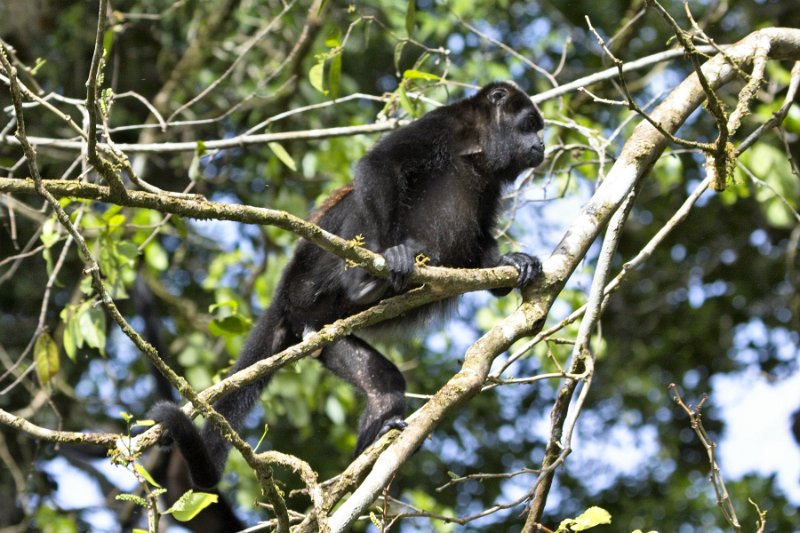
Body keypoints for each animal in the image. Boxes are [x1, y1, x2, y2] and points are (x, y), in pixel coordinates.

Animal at [150, 81, 548, 488]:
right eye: (529, 124)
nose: (542, 144)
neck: (481, 142)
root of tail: (286, 301)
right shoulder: (443, 124)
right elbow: (381, 164)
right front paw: (390, 255)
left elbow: (481, 238)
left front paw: (512, 262)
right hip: (307, 280)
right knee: (357, 201)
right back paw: (364, 281)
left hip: (324, 335)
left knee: (384, 388)